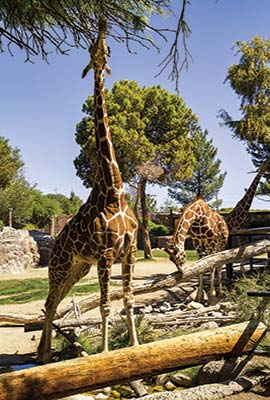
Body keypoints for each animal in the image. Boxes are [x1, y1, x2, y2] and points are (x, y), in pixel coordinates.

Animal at [37, 18, 139, 362]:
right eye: (92, 48)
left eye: (108, 48)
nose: (102, 27)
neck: (114, 191)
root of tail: (55, 242)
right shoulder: (106, 254)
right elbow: (107, 305)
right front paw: (106, 355)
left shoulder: (130, 251)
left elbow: (128, 300)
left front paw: (136, 347)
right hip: (61, 265)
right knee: (49, 303)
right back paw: (43, 356)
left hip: (78, 267)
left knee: (53, 303)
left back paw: (42, 354)